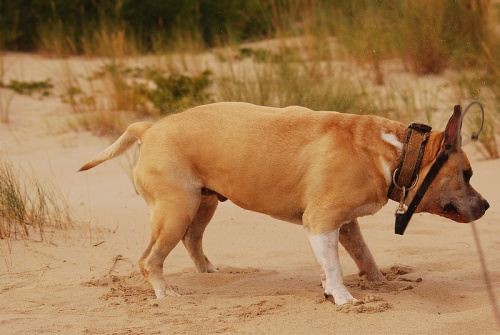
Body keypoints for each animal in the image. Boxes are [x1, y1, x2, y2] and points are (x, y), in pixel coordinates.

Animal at [80, 101, 490, 304]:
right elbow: (334, 266)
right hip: (175, 210)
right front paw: (343, 297)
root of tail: (149, 128)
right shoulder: (322, 222)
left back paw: (209, 271)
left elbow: (364, 257)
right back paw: (165, 294)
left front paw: (380, 283)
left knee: (192, 239)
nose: (487, 206)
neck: (398, 152)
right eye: (468, 174)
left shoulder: (346, 225)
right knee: (150, 258)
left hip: (202, 204)